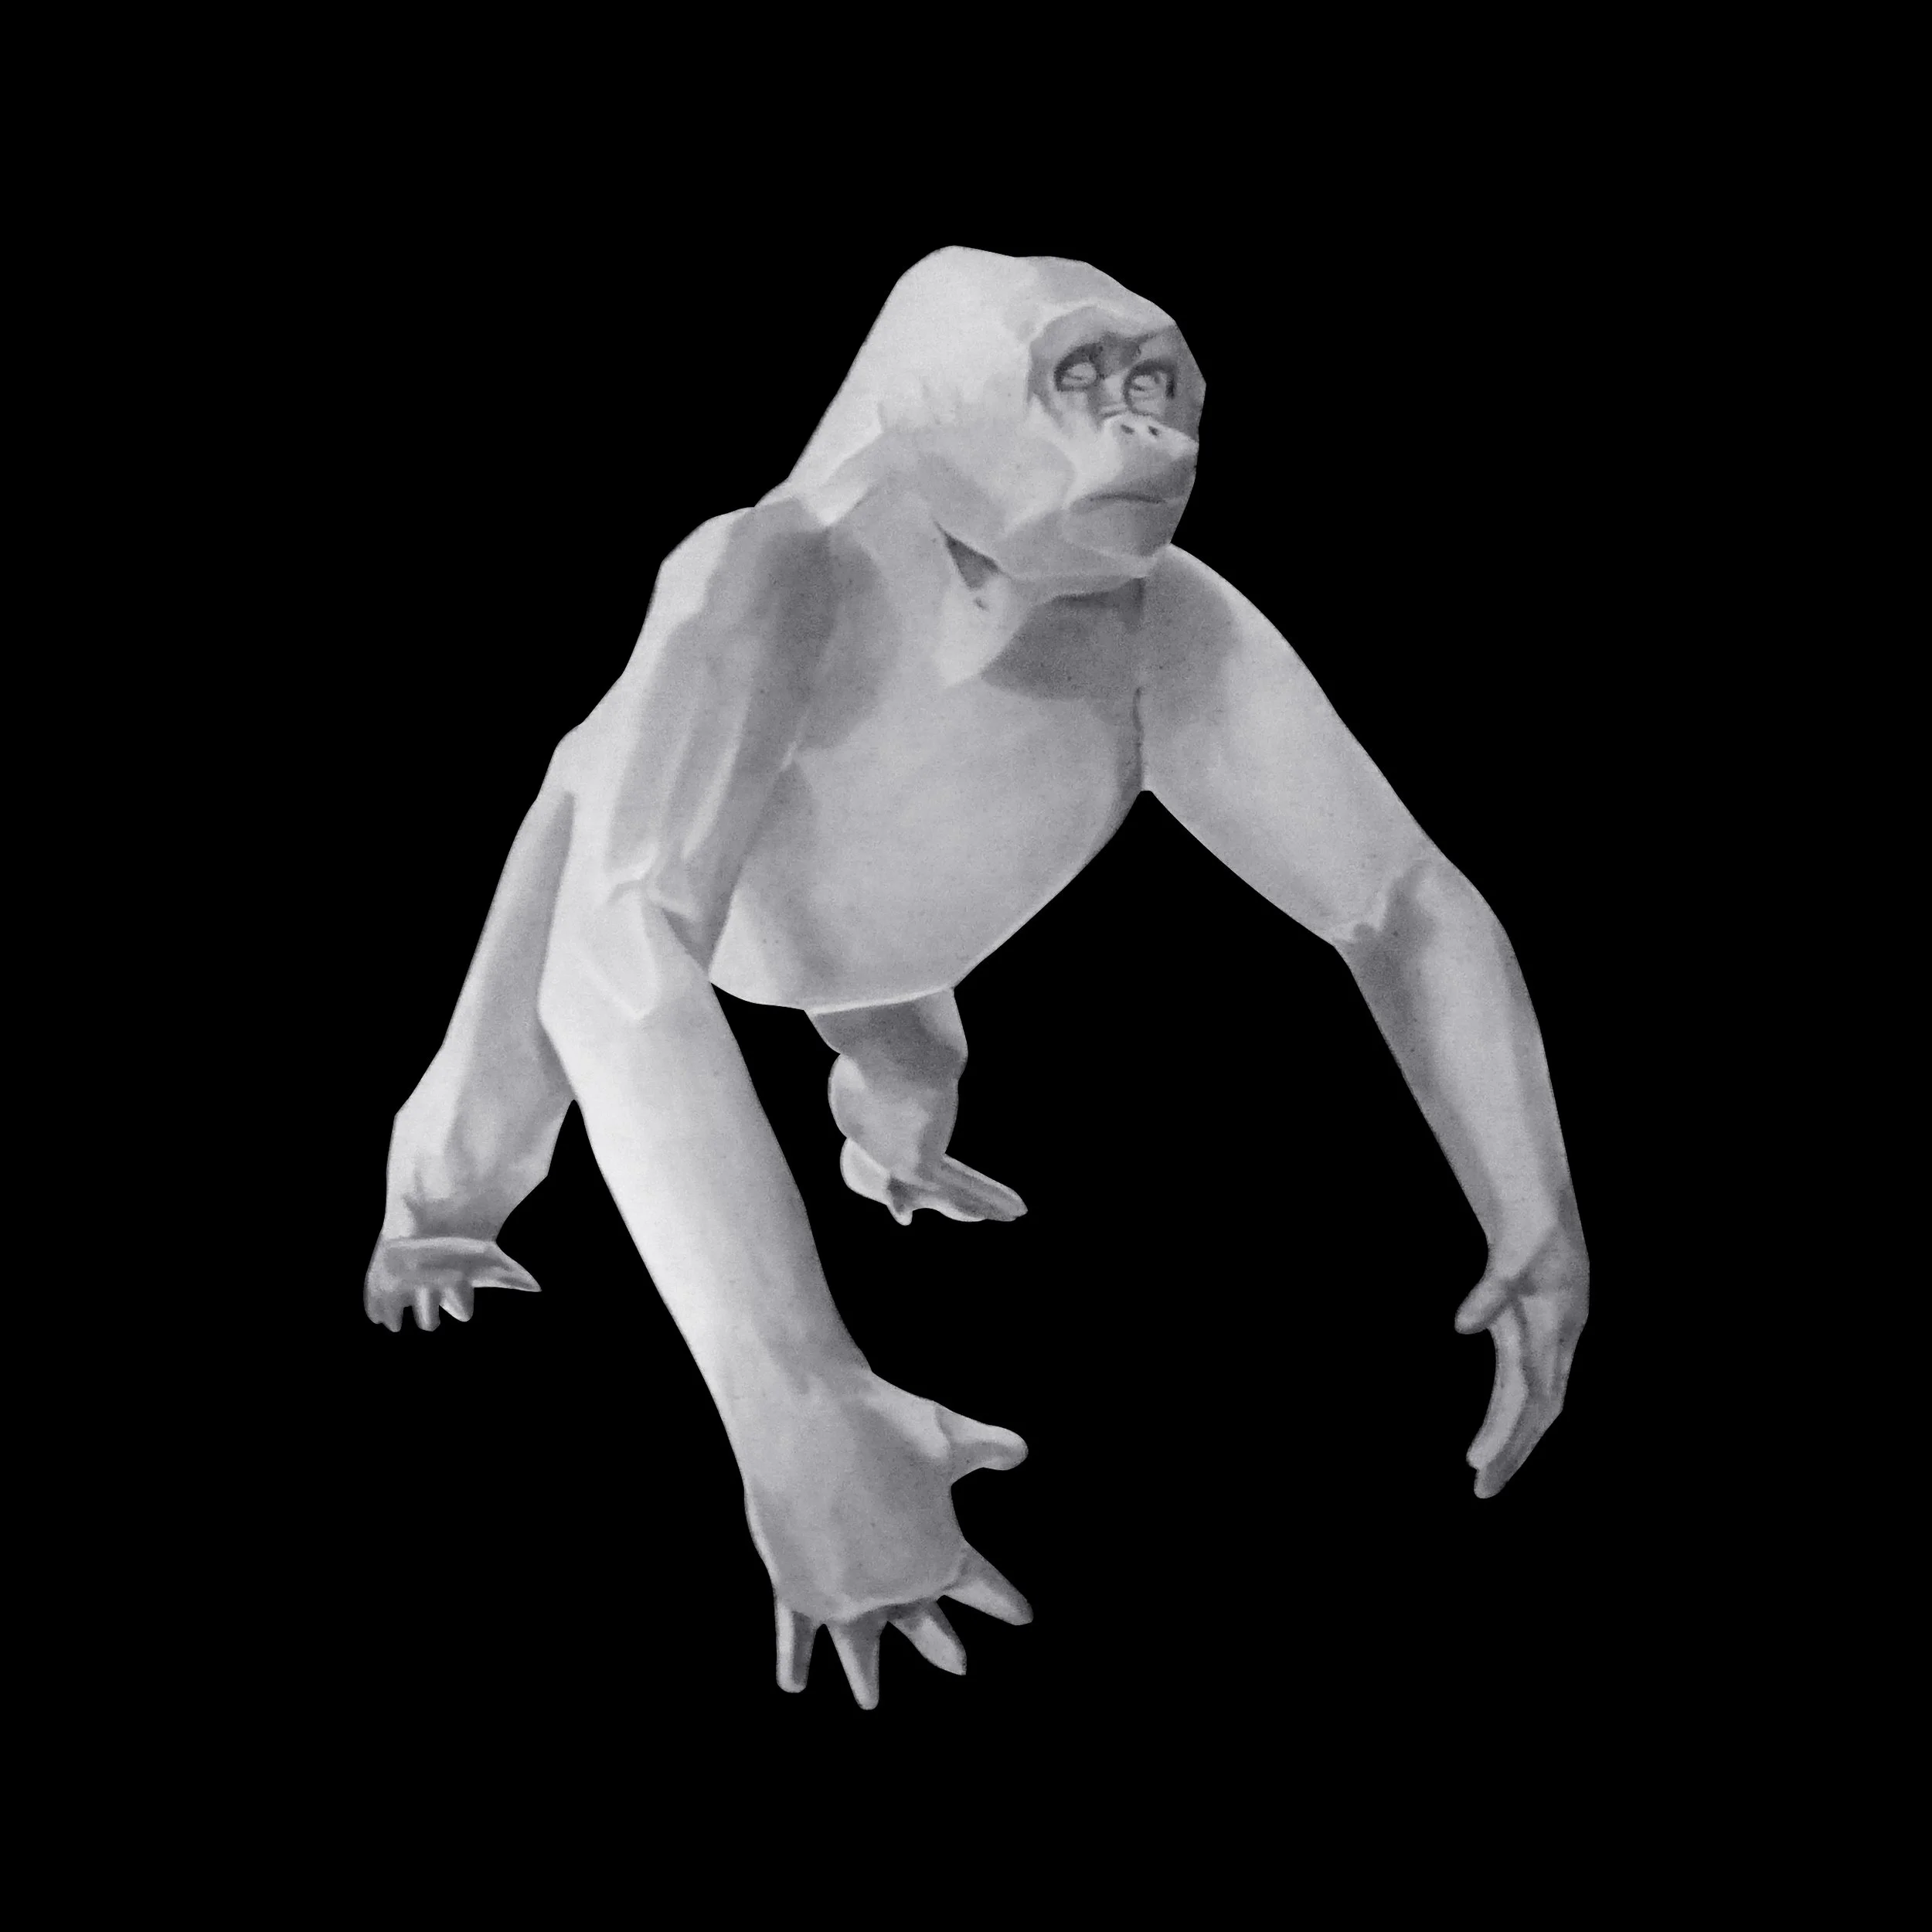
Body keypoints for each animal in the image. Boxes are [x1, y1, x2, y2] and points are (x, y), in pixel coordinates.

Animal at [364, 247, 1590, 1709]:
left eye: (1152, 380)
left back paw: (896, 1161)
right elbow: (635, 962)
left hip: (878, 992)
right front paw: (857, 1508)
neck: (969, 572)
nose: (1150, 432)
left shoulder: (1197, 606)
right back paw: (434, 1232)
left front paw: (1540, 1287)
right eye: (1081, 376)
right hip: (570, 784)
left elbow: (1398, 900)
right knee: (525, 1037)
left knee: (906, 1063)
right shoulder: (735, 584)